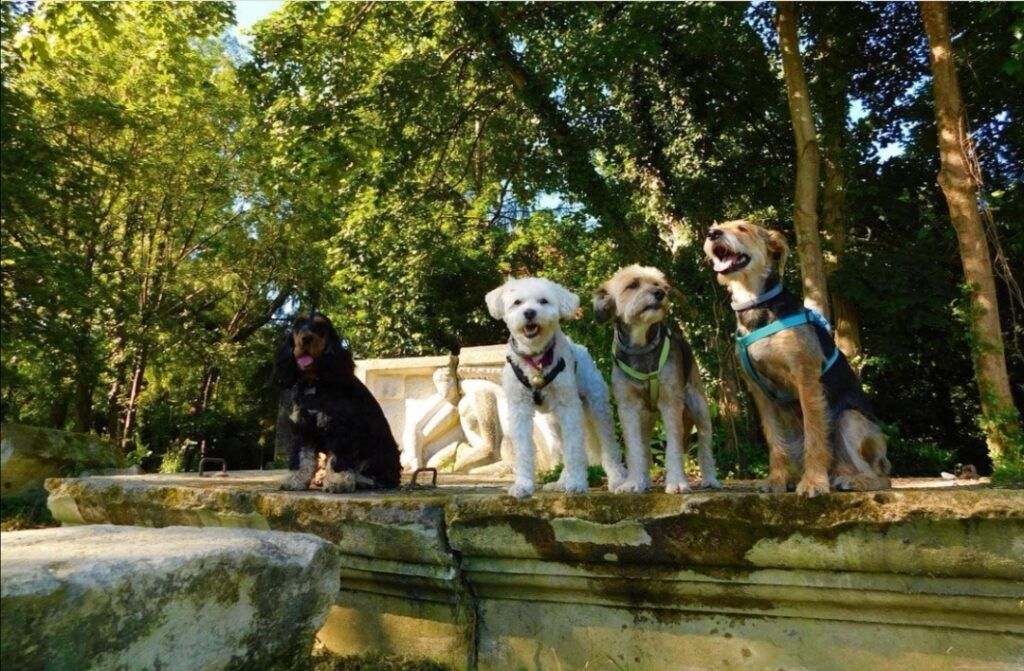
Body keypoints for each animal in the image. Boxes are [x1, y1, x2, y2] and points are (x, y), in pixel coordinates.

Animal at [483, 274, 626, 497]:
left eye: (543, 301)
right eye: (517, 302)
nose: (529, 312)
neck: (537, 357)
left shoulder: (569, 407)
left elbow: (575, 448)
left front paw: (577, 483)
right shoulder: (519, 408)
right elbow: (523, 449)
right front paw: (523, 485)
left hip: (597, 407)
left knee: (608, 445)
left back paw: (617, 479)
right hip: (554, 422)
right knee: (563, 446)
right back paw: (561, 482)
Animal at [593, 266, 720, 493]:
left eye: (660, 285)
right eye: (633, 284)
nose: (660, 294)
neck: (642, 346)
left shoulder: (671, 404)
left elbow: (674, 448)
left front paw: (677, 482)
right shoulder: (628, 408)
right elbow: (634, 449)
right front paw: (633, 482)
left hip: (699, 407)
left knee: (705, 445)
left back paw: (710, 479)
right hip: (646, 417)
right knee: (644, 447)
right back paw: (643, 480)